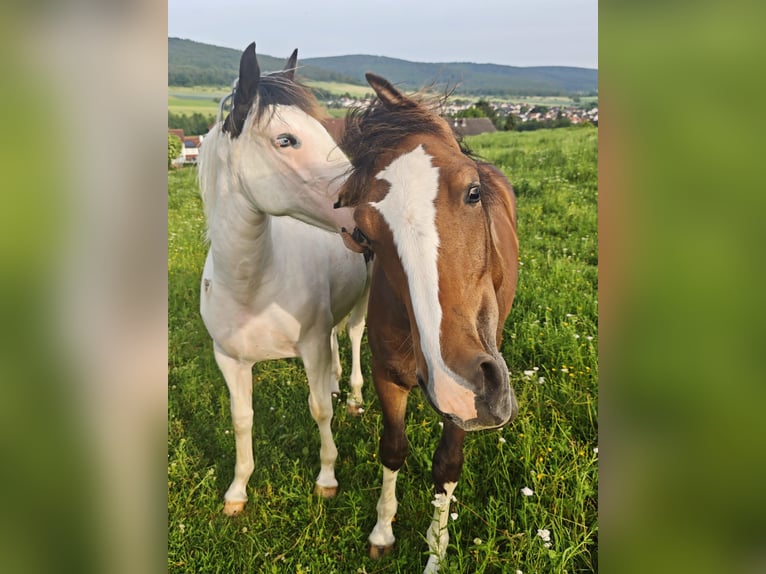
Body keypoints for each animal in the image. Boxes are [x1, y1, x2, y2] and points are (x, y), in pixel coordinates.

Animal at [197, 43, 370, 516]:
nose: (370, 211)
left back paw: (353, 396)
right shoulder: (229, 359)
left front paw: (327, 478)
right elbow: (242, 420)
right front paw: (237, 491)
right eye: (286, 140)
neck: (252, 287)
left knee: (353, 336)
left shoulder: (310, 347)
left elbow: (319, 410)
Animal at [337, 74, 519, 572]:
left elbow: (446, 466)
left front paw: (436, 552)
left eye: (473, 192)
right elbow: (393, 448)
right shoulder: (388, 375)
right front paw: (383, 532)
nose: (459, 387)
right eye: (364, 233)